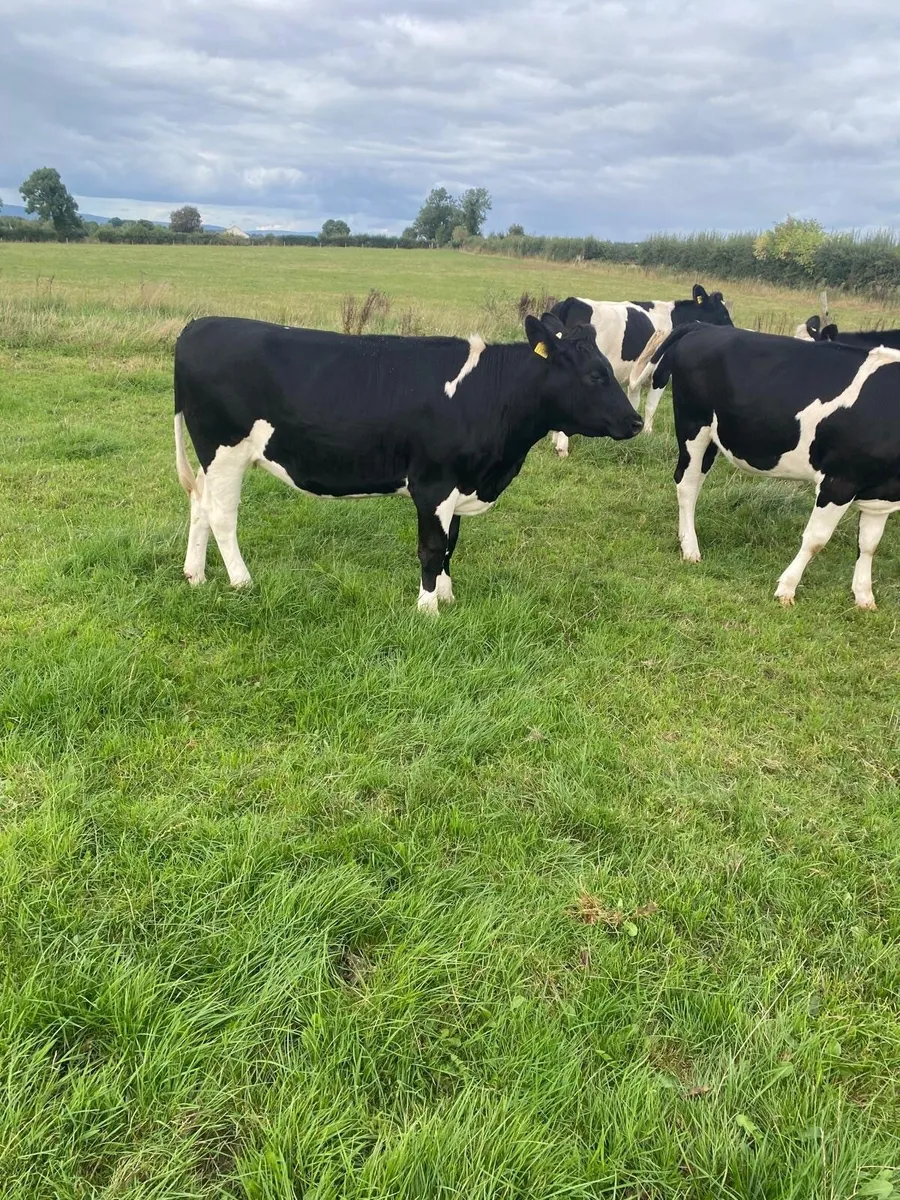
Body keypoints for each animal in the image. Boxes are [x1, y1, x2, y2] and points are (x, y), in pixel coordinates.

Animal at [173, 314, 643, 613]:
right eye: (595, 376)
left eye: (606, 368)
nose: (636, 421)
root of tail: (199, 325)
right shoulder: (433, 484)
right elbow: (432, 547)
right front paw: (427, 608)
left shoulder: (460, 482)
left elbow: (452, 542)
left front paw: (448, 597)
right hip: (225, 450)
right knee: (222, 515)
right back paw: (242, 581)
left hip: (212, 458)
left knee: (199, 503)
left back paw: (195, 575)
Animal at [547, 284, 733, 453]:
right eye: (724, 314)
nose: (732, 331)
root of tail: (571, 301)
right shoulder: (662, 372)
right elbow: (651, 405)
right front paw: (647, 433)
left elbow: (633, 402)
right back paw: (562, 448)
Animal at [645, 323, 900, 609]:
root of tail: (704, 326)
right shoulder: (839, 480)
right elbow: (816, 539)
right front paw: (787, 588)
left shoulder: (882, 494)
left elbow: (869, 544)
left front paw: (864, 596)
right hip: (693, 425)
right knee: (686, 485)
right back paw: (691, 549)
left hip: (713, 436)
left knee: (696, 481)